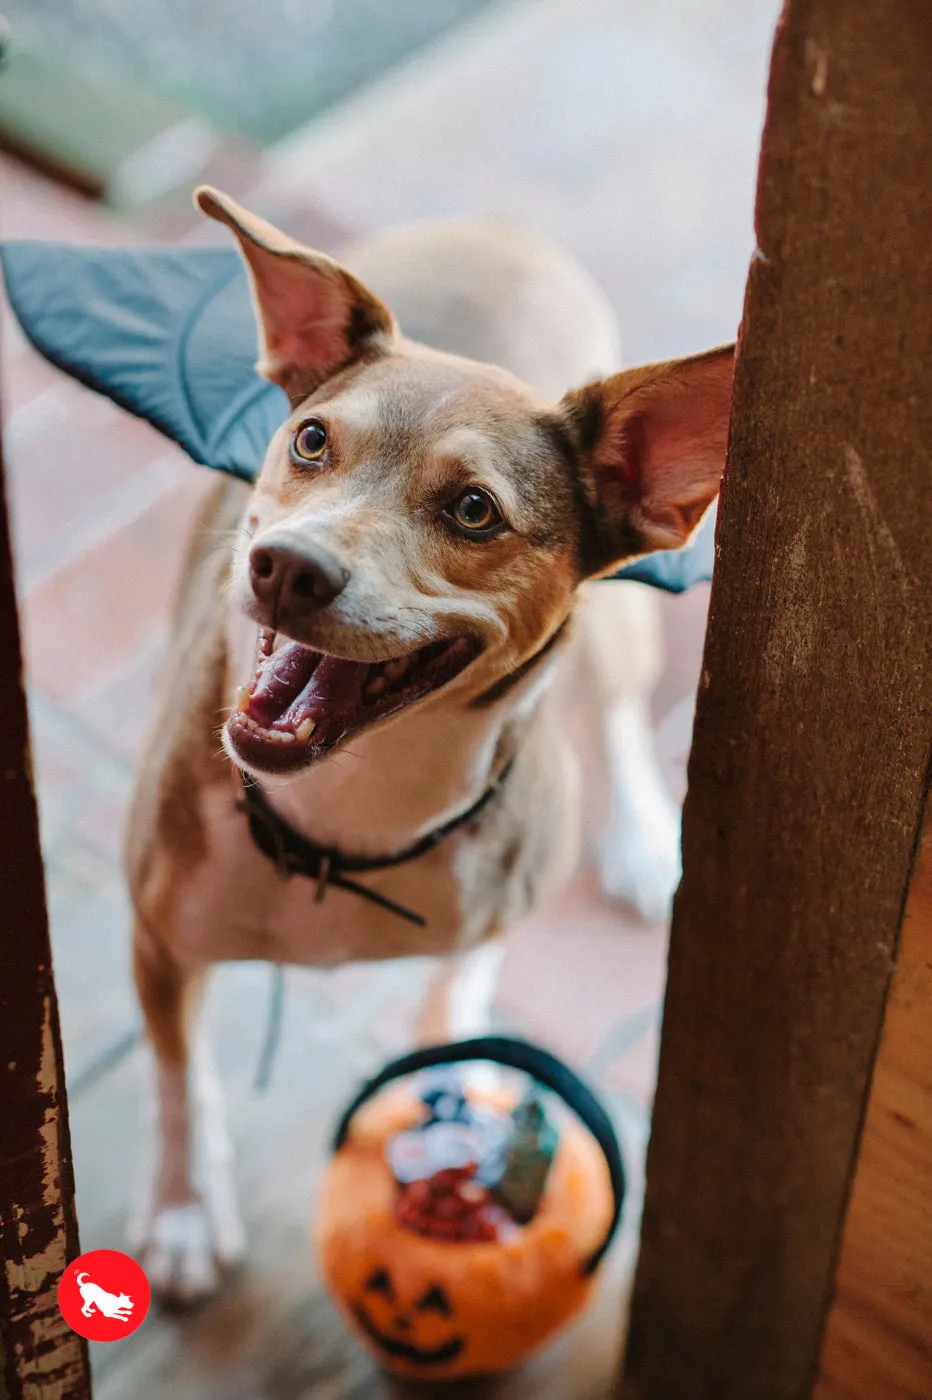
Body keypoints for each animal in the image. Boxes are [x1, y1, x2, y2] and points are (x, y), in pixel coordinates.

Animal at [125, 186, 733, 1299]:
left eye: (473, 509)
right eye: (311, 441)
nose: (285, 566)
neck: (349, 814)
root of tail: (497, 231)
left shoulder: (499, 895)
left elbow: (460, 983)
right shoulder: (159, 935)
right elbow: (184, 1081)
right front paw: (186, 1209)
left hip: (624, 622)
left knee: (620, 710)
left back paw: (638, 839)